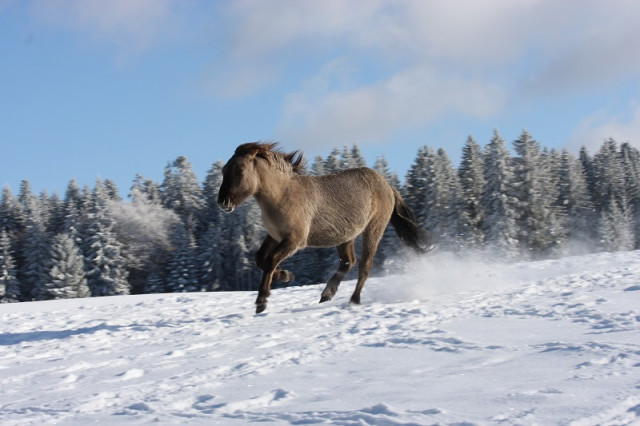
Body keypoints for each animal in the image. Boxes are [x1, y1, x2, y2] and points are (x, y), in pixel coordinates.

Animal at [217, 142, 431, 313]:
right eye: (224, 170)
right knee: (348, 262)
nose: (222, 202)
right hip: (347, 235)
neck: (282, 195)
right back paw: (327, 294)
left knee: (364, 265)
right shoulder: (275, 235)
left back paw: (353, 300)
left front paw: (262, 301)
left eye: (239, 170)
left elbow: (270, 261)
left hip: (373, 229)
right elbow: (260, 259)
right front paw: (285, 276)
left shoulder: (295, 240)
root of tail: (388, 186)